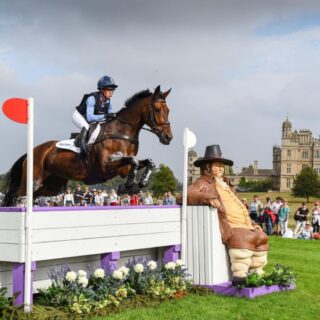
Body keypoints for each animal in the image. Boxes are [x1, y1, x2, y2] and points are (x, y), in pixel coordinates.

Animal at [1, 84, 172, 208]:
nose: (168, 137)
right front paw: (129, 186)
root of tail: (33, 151)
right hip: (33, 181)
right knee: (15, 194)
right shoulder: (105, 165)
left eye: (168, 110)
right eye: (157, 109)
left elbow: (146, 162)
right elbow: (134, 161)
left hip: (52, 186)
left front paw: (139, 184)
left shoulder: (122, 168)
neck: (122, 132)